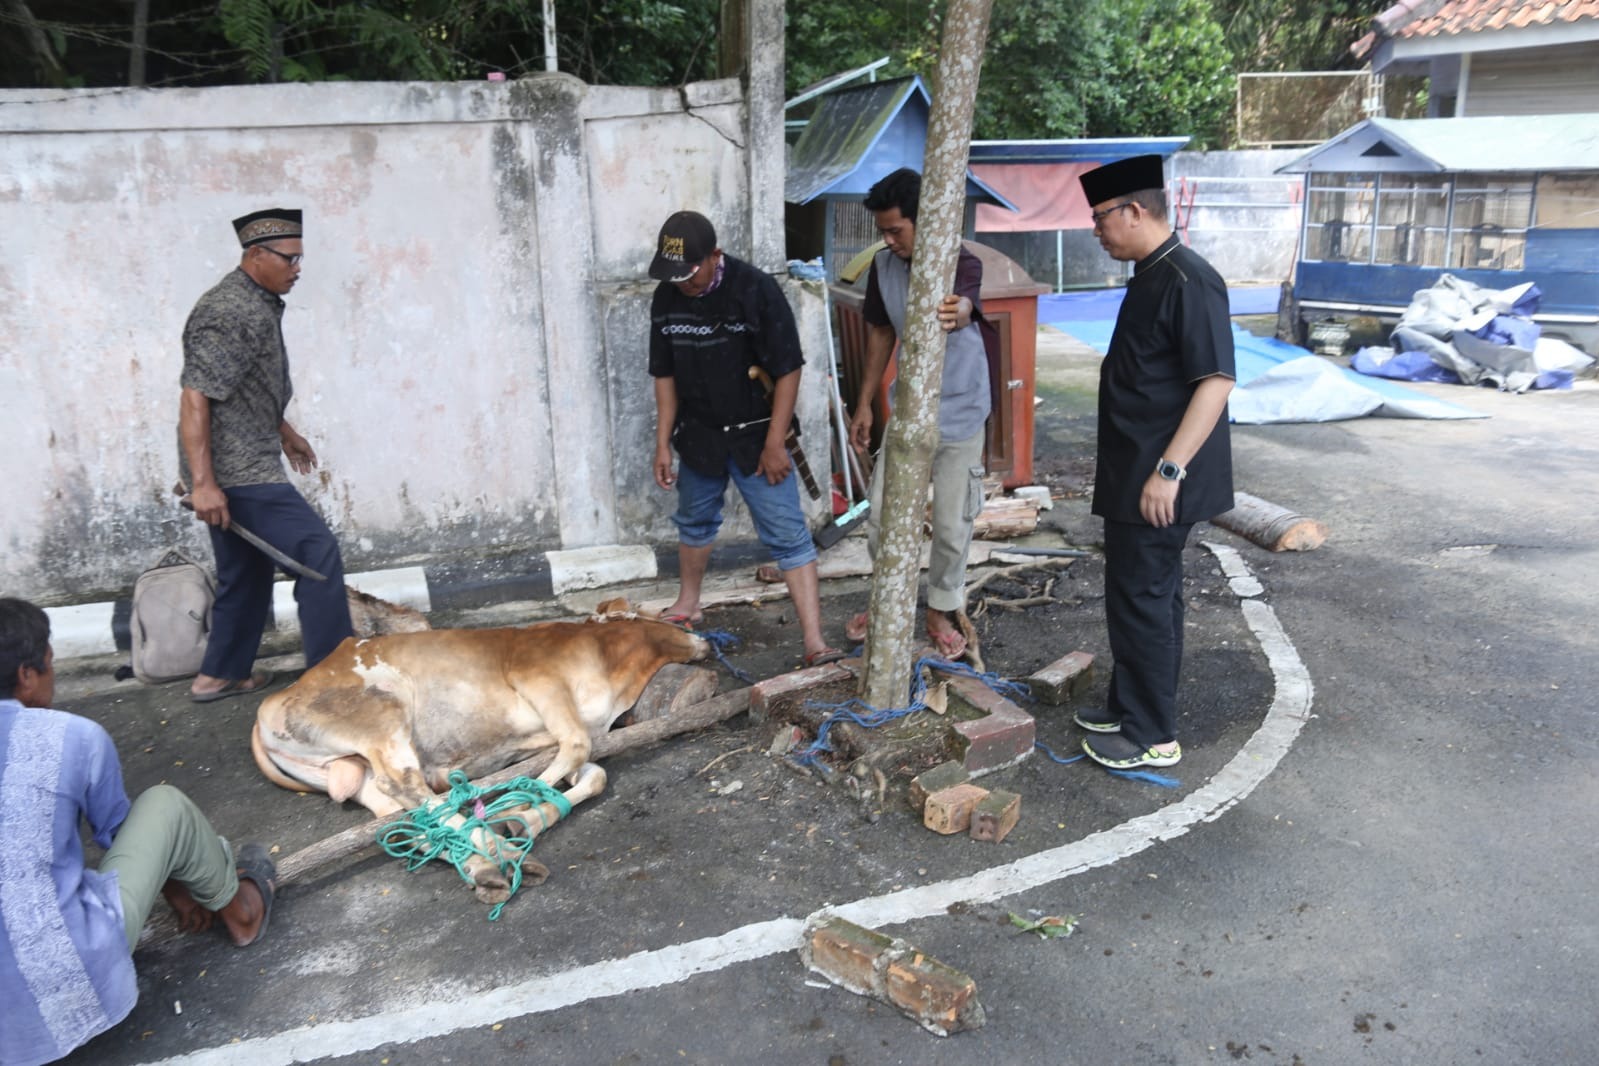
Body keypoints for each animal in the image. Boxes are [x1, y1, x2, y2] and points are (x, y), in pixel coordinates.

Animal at [252, 616, 709, 901]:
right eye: (677, 621)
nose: (705, 638)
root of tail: (273, 701)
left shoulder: (565, 733)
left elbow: (593, 773)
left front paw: (525, 815)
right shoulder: (540, 678)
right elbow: (578, 747)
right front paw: (514, 809)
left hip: (358, 769)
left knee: (406, 815)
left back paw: (481, 864)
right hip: (379, 708)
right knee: (406, 784)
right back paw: (499, 853)